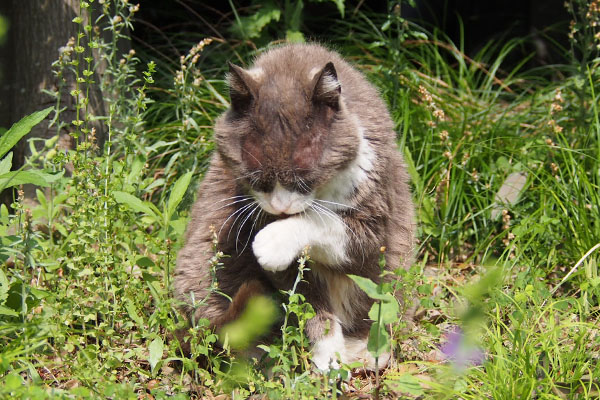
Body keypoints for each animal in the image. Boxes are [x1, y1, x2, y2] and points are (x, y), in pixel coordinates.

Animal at [176, 42, 414, 370]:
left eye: (303, 178)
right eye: (256, 178)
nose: (281, 207)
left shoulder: (372, 221)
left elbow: (326, 224)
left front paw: (273, 242)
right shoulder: (260, 218)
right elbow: (310, 306)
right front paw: (328, 358)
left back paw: (368, 351)